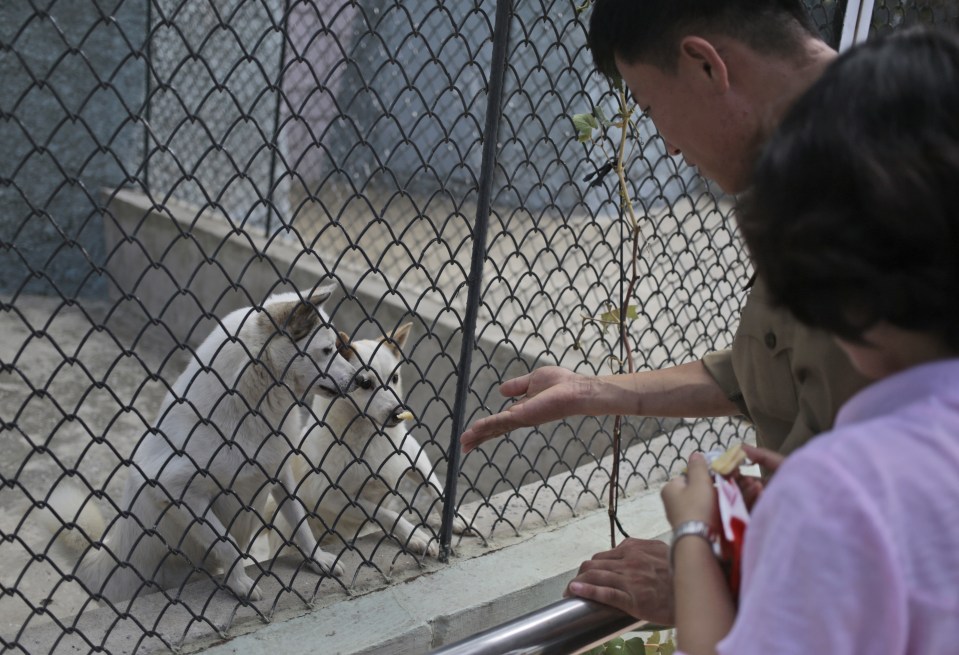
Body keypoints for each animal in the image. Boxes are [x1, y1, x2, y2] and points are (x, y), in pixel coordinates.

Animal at [42, 284, 356, 604]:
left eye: (335, 346)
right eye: (327, 350)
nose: (359, 378)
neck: (249, 404)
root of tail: (108, 558)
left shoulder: (280, 474)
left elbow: (300, 521)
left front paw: (318, 558)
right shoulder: (176, 490)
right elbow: (227, 543)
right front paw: (240, 584)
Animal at [276, 322, 466, 560]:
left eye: (395, 378)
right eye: (365, 383)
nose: (398, 413)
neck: (370, 436)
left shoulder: (415, 455)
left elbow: (436, 488)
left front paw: (454, 517)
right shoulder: (335, 498)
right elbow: (387, 513)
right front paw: (414, 535)